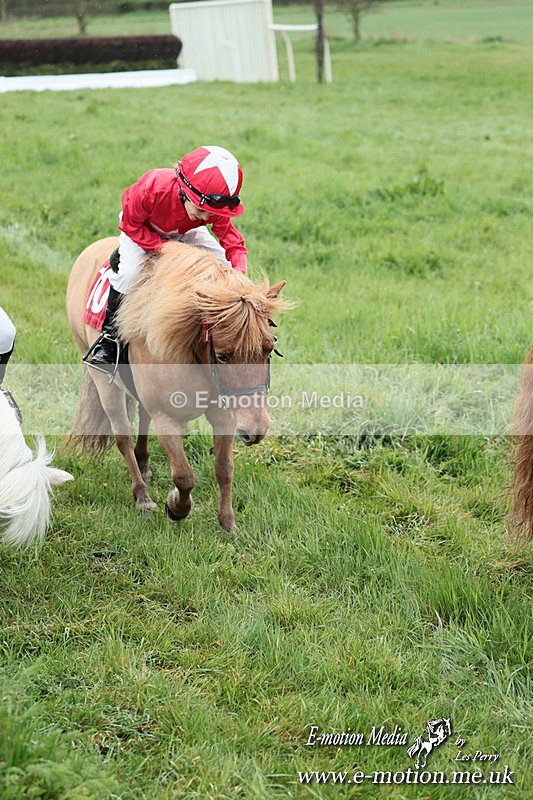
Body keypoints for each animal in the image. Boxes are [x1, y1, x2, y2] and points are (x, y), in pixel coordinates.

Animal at [66, 237, 290, 531]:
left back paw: (144, 465)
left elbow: (224, 469)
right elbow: (184, 476)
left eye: (268, 349)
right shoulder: (168, 420)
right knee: (122, 435)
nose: (256, 429)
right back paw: (142, 496)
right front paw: (177, 507)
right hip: (104, 384)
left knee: (142, 418)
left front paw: (228, 523)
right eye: (223, 355)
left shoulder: (225, 417)